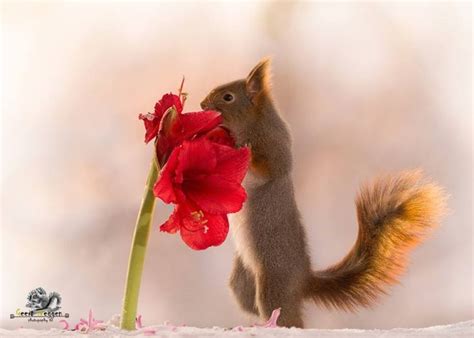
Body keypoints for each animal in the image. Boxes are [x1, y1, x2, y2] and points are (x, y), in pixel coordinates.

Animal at [200, 58, 448, 328]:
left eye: (228, 97)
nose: (202, 105)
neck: (255, 122)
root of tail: (304, 280)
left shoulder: (275, 148)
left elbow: (266, 168)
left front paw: (239, 147)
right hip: (243, 282)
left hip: (273, 282)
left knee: (288, 319)